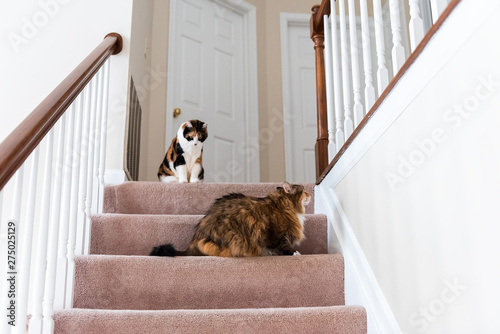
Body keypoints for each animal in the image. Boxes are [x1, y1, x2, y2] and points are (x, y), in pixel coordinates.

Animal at [150, 184, 310, 258]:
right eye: (303, 190)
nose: (310, 193)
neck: (282, 205)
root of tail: (193, 241)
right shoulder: (277, 234)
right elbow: (283, 246)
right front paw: (295, 253)